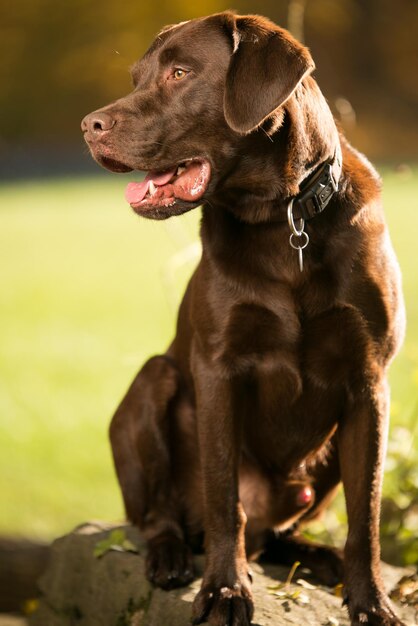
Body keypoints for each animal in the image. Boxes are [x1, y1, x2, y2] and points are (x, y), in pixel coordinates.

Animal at [81, 11, 404, 624]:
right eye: (137, 78)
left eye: (179, 73)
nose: (89, 125)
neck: (283, 221)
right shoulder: (219, 369)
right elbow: (224, 497)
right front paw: (225, 591)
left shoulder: (369, 383)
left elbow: (367, 514)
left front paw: (371, 601)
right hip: (152, 380)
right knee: (160, 517)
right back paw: (172, 556)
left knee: (283, 533)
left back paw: (318, 558)